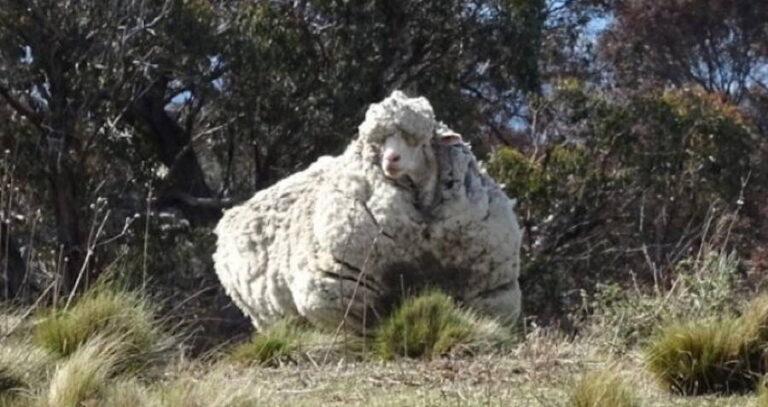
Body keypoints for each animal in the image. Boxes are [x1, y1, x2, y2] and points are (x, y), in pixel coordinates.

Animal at [213, 90, 521, 333]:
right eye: (378, 142)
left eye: (418, 139)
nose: (391, 159)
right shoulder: (342, 292)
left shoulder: (490, 291)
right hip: (267, 316)